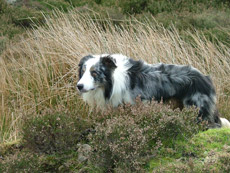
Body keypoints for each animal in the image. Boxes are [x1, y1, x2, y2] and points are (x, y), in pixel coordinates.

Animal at [77, 54, 230, 128]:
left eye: (94, 72)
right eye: (83, 71)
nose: (79, 86)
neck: (114, 79)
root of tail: (206, 78)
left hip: (199, 111)